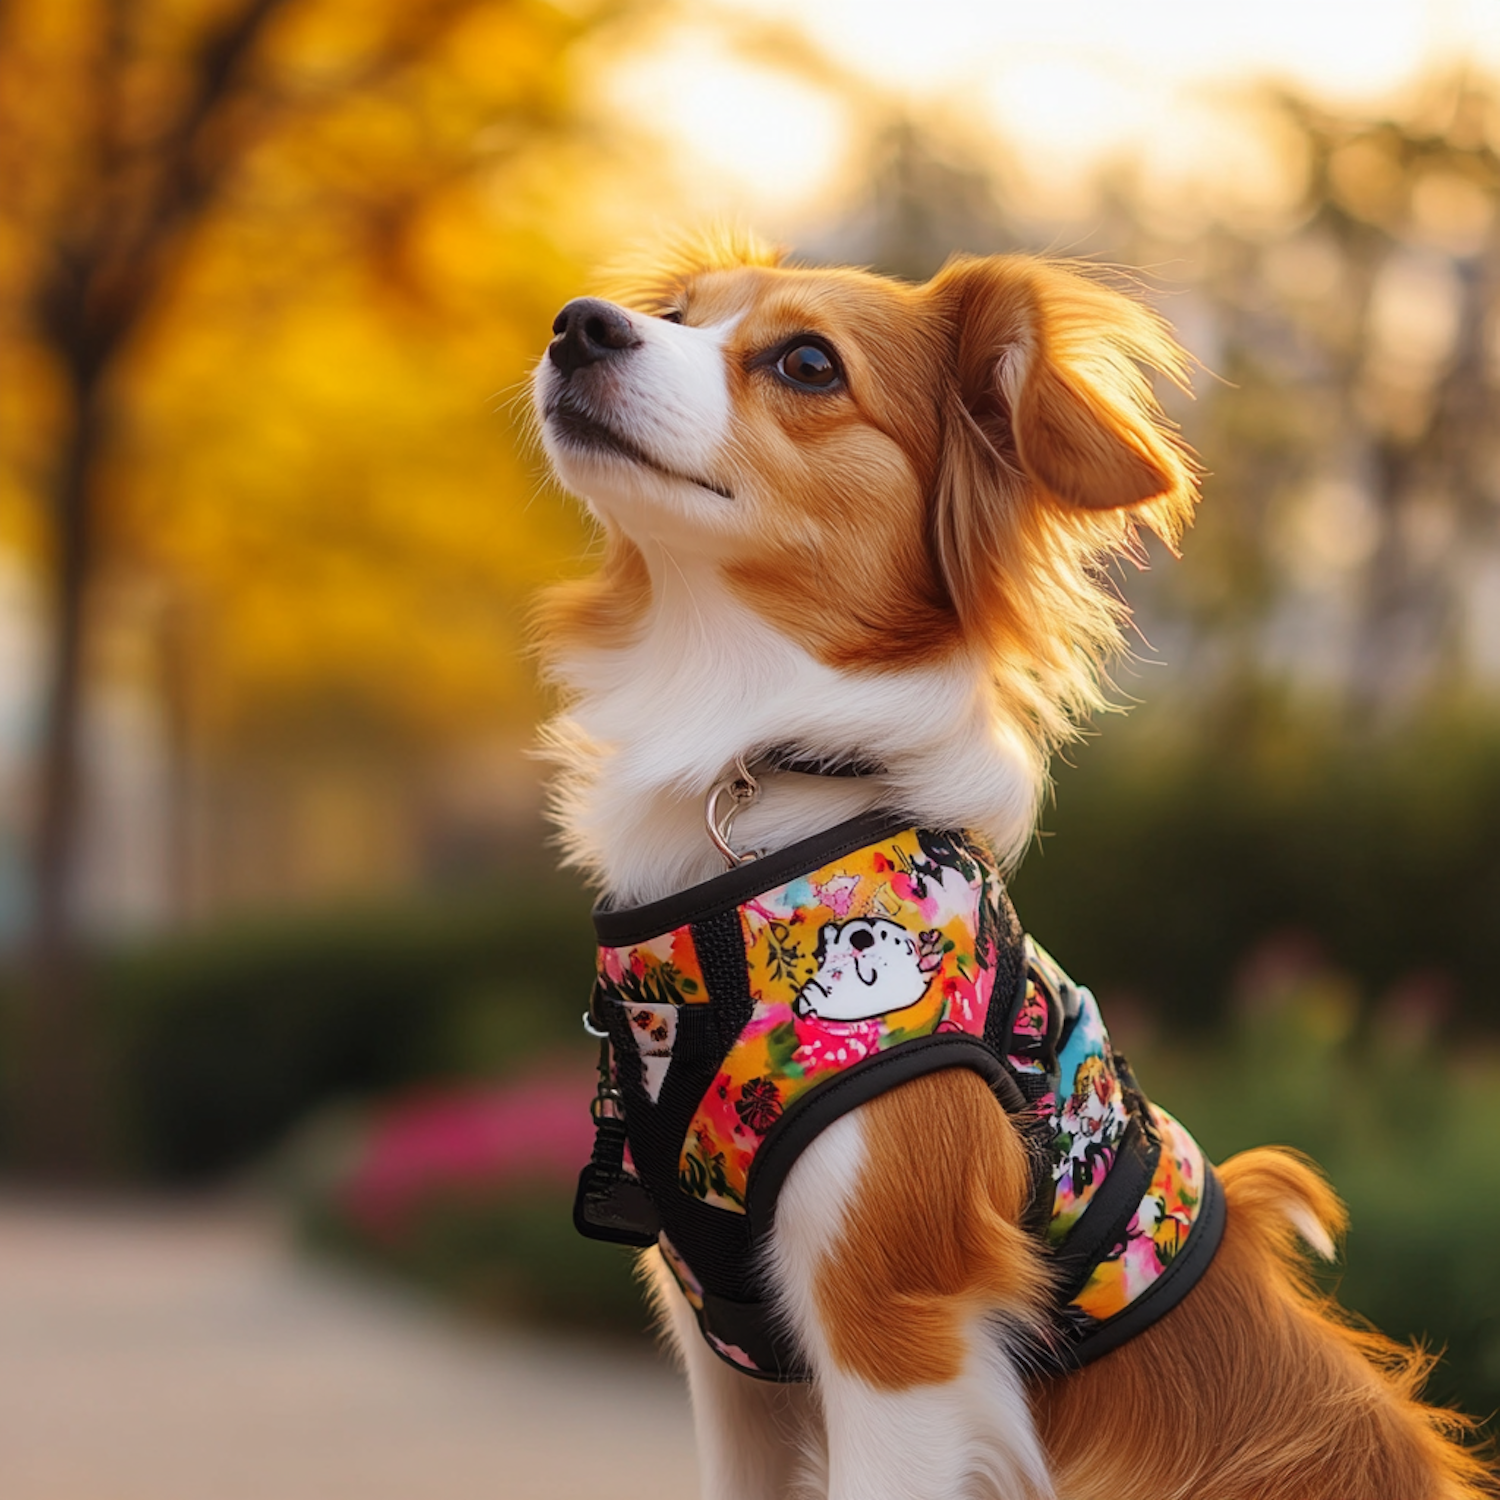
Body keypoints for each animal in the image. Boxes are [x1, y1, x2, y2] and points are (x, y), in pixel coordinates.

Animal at [528, 231, 1488, 1500]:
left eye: (806, 362)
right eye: (677, 315)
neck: (762, 769)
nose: (579, 322)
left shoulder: (899, 1337)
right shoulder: (728, 1369)